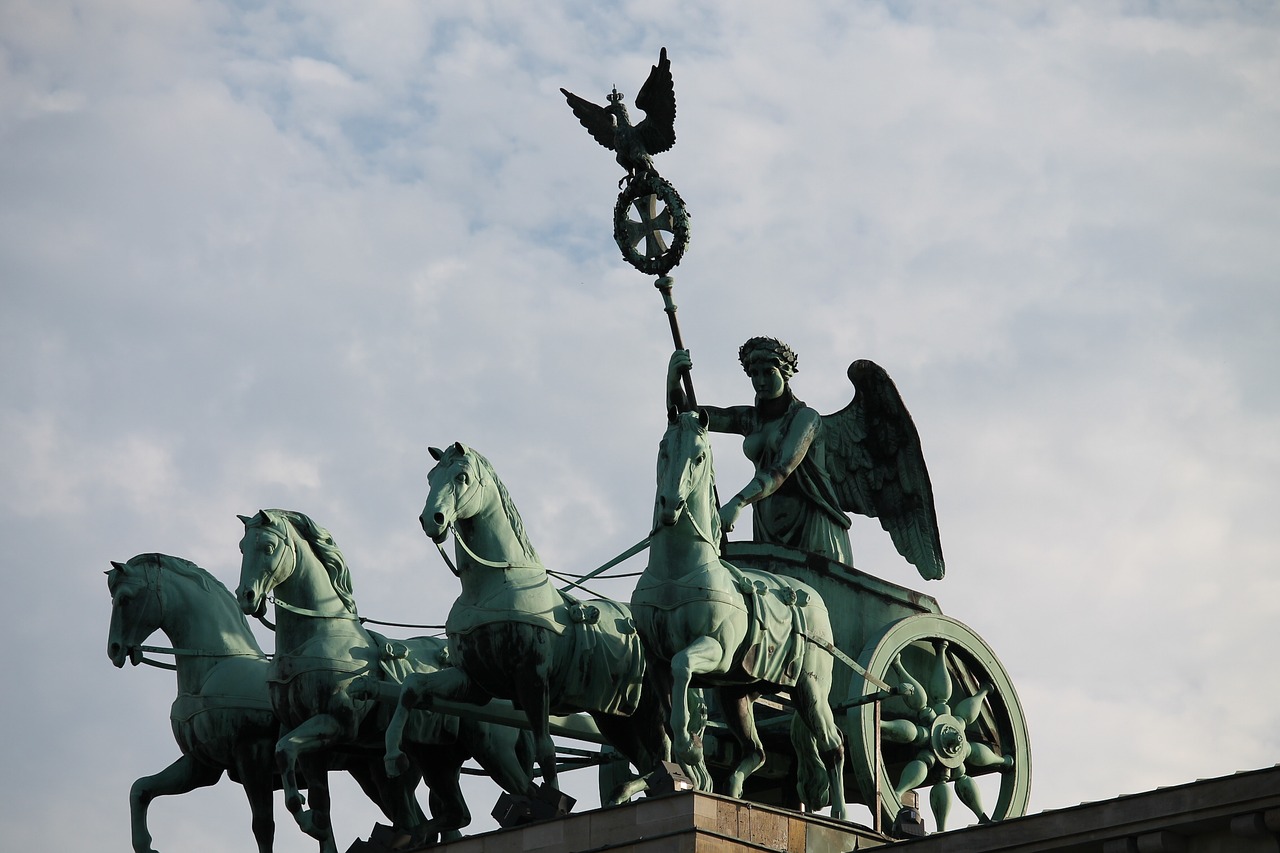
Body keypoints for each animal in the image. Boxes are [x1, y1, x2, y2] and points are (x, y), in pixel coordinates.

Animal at [239, 507, 535, 845]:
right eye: (241, 547)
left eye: (268, 547)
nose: (246, 596)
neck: (315, 636)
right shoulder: (308, 742)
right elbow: (312, 793)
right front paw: (309, 818)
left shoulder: (337, 724)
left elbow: (284, 750)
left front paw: (304, 814)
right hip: (436, 758)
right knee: (457, 813)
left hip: (492, 750)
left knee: (527, 794)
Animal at [384, 440, 670, 794]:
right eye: (429, 478)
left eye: (462, 476)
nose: (431, 520)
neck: (492, 585)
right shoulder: (474, 683)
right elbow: (411, 688)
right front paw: (393, 757)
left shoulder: (532, 678)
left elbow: (545, 747)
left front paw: (554, 799)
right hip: (616, 717)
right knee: (648, 758)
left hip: (651, 709)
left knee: (669, 756)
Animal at [632, 412, 849, 819]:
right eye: (663, 450)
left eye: (699, 456)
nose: (671, 504)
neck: (677, 571)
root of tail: (813, 596)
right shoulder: (655, 662)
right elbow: (670, 710)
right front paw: (689, 764)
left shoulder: (713, 649)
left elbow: (684, 666)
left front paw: (690, 748)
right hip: (738, 696)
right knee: (757, 751)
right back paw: (733, 793)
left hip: (810, 688)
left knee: (833, 745)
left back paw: (844, 818)